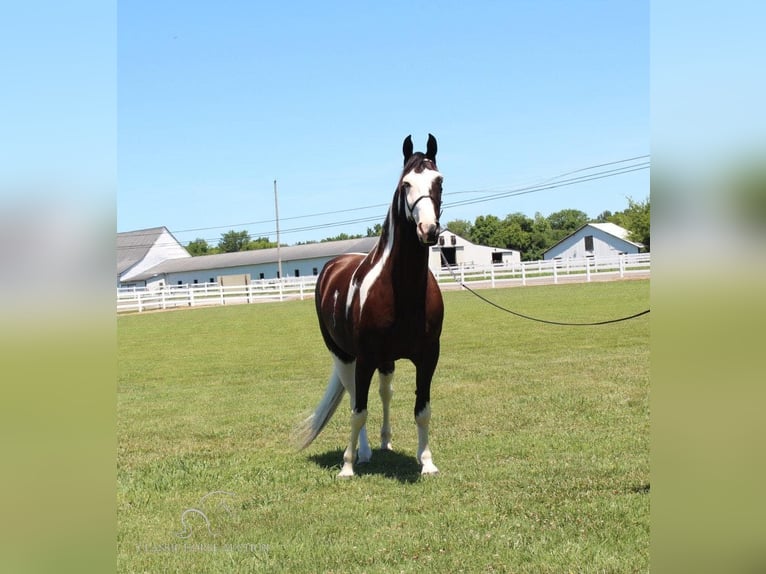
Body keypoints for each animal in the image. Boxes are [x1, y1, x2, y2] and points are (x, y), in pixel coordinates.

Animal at [296, 134, 448, 476]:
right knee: (356, 397)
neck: (402, 291)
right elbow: (358, 411)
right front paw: (347, 466)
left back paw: (384, 442)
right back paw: (362, 452)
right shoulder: (364, 357)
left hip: (385, 360)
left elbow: (423, 410)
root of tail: (334, 265)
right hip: (344, 356)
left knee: (385, 393)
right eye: (406, 183)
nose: (429, 230)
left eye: (439, 181)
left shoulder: (428, 356)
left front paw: (427, 462)